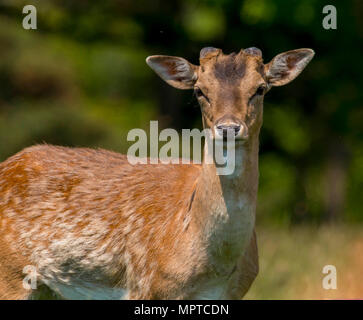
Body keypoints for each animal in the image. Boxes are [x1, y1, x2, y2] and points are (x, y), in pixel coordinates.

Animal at [0, 46, 314, 298]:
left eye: (260, 88)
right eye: (200, 90)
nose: (228, 128)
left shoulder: (235, 291)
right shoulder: (146, 285)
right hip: (11, 275)